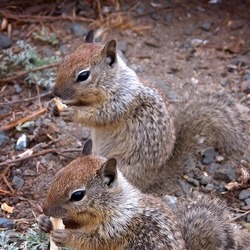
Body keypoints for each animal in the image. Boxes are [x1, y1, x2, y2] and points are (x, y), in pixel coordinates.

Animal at [38, 140, 250, 249]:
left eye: (78, 195)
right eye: (57, 174)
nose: (45, 209)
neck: (114, 205)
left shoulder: (117, 228)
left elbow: (93, 241)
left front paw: (65, 236)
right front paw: (45, 223)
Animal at [47, 30, 247, 195]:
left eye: (83, 75)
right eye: (63, 61)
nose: (56, 92)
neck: (114, 82)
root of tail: (155, 175)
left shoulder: (121, 102)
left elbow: (101, 115)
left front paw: (72, 114)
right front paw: (52, 106)